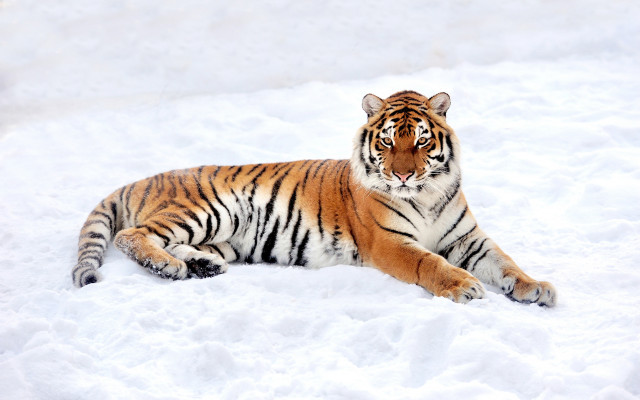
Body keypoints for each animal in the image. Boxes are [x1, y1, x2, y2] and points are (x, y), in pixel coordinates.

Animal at [72, 90, 557, 306]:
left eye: (420, 141)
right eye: (387, 141)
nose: (402, 174)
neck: (427, 194)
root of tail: (143, 179)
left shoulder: (467, 238)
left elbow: (504, 262)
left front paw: (535, 287)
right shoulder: (389, 242)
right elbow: (429, 263)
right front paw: (464, 286)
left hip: (221, 236)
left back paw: (200, 266)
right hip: (207, 209)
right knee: (133, 236)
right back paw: (170, 267)